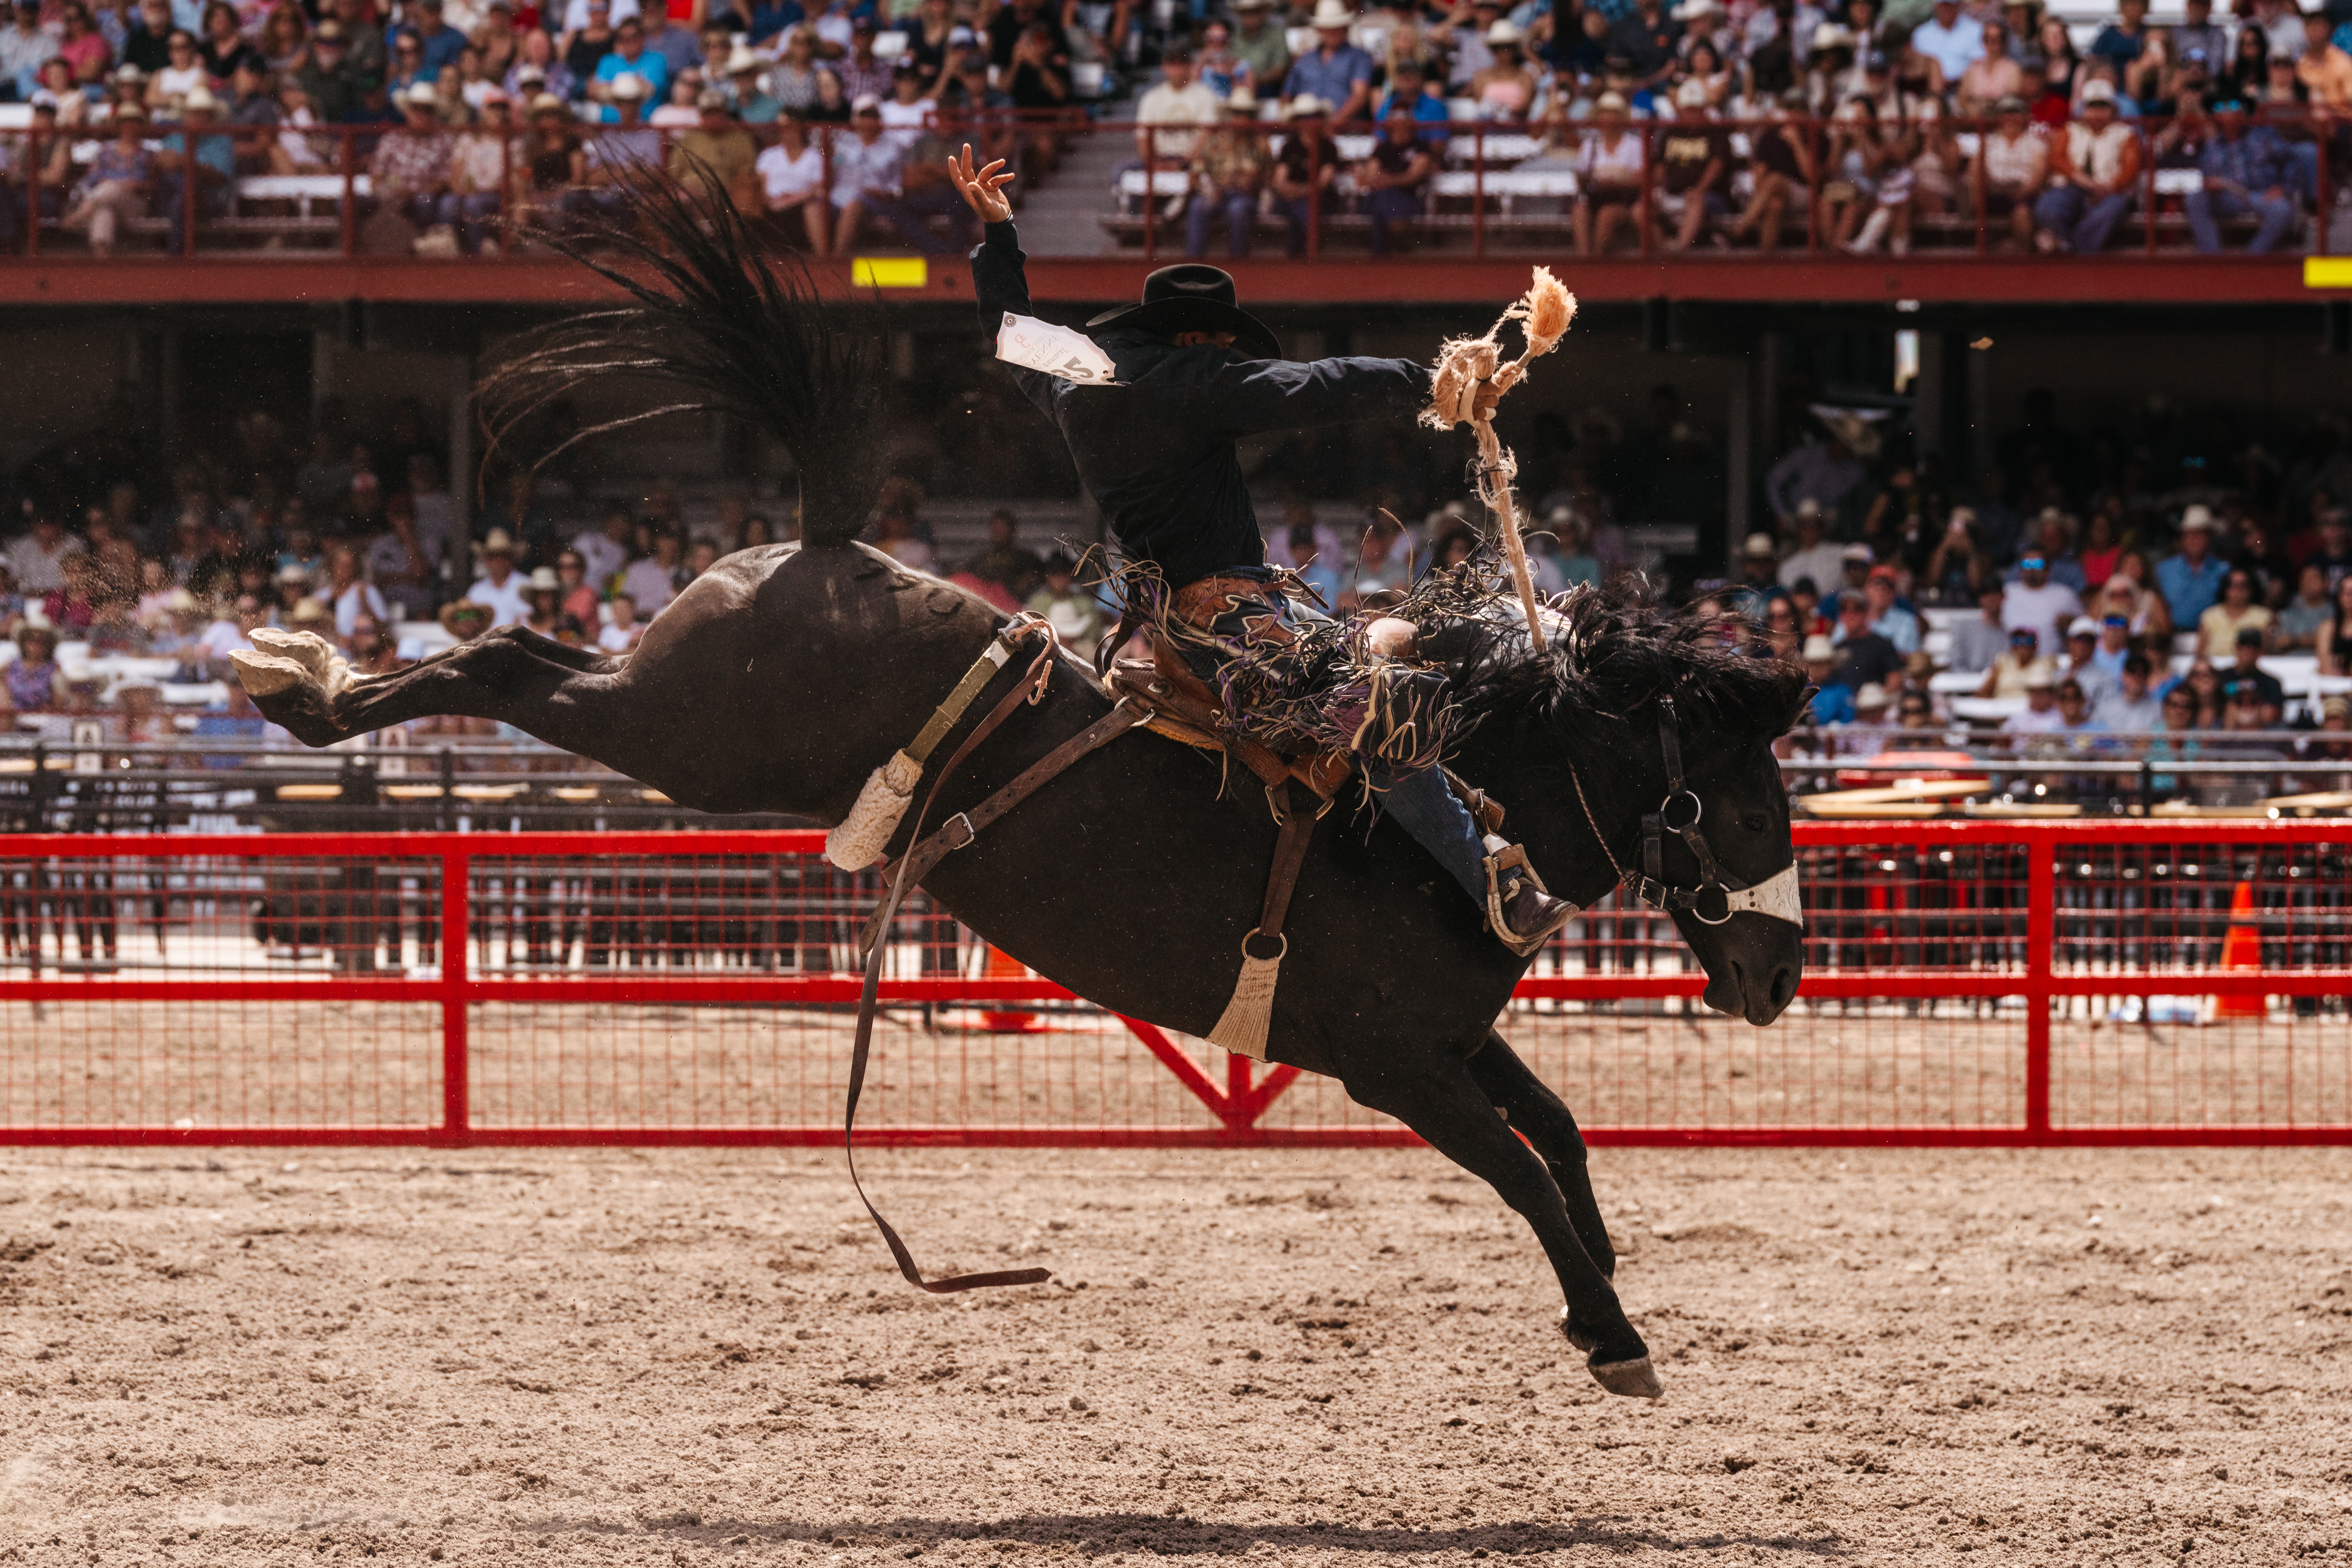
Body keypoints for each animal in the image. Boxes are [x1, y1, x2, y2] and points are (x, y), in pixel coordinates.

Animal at [232, 177, 1808, 1400]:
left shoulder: (1455, 1037)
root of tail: (826, 539)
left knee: (530, 649)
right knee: (506, 657)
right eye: (1745, 807)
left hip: (667, 701)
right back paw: (307, 687)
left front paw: (1602, 1282)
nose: (1781, 974)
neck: (1456, 808)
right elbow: (1524, 1168)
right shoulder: (1397, 1060)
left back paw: (306, 675)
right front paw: (1612, 1333)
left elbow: (1561, 1130)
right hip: (690, 733)